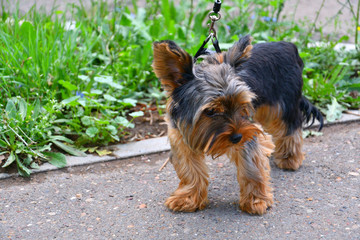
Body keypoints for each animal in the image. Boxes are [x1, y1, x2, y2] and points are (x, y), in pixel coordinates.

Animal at [152, 34, 324, 215]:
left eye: (240, 104)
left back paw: (289, 158)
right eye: (210, 111)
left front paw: (256, 200)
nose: (237, 137)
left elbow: (251, 167)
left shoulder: (246, 134)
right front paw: (188, 198)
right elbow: (190, 170)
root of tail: (289, 46)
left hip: (282, 104)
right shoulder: (180, 137)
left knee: (290, 128)